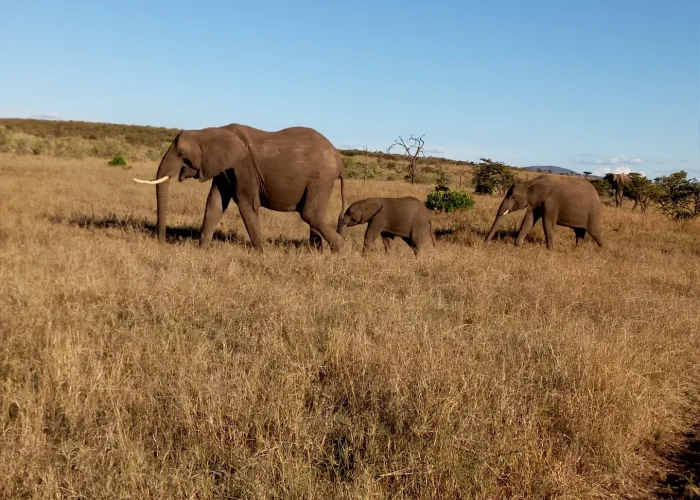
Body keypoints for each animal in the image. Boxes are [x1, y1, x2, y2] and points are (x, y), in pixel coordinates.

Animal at [133, 123, 346, 252]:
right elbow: (214, 204)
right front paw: (201, 249)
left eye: (181, 154)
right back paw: (317, 251)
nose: (161, 242)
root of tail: (338, 156)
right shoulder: (223, 169)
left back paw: (343, 249)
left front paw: (261, 253)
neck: (208, 132)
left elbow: (247, 204)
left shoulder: (243, 168)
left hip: (321, 177)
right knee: (313, 214)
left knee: (309, 213)